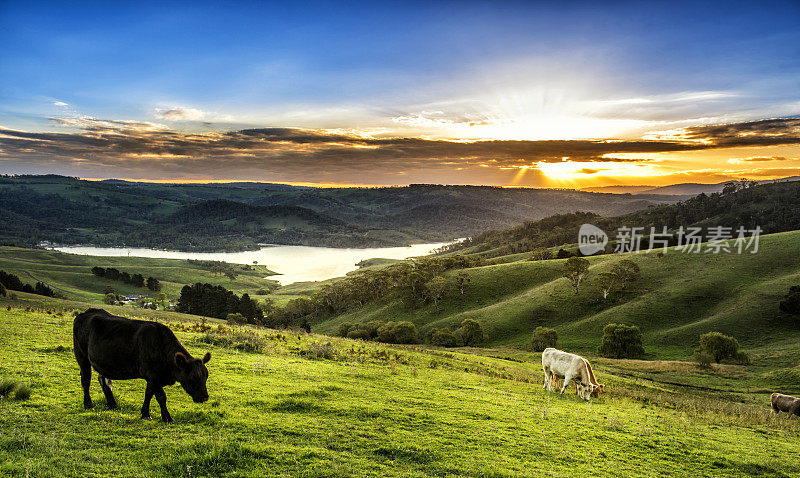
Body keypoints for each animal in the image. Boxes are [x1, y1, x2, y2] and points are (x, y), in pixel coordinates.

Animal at [73, 306, 211, 422]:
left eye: (206, 377)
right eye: (193, 377)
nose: (205, 397)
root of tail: (87, 312)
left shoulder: (152, 378)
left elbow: (148, 394)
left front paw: (145, 413)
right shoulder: (152, 375)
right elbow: (161, 396)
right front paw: (167, 417)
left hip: (104, 362)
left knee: (104, 380)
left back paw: (113, 405)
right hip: (81, 355)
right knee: (86, 379)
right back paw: (88, 405)